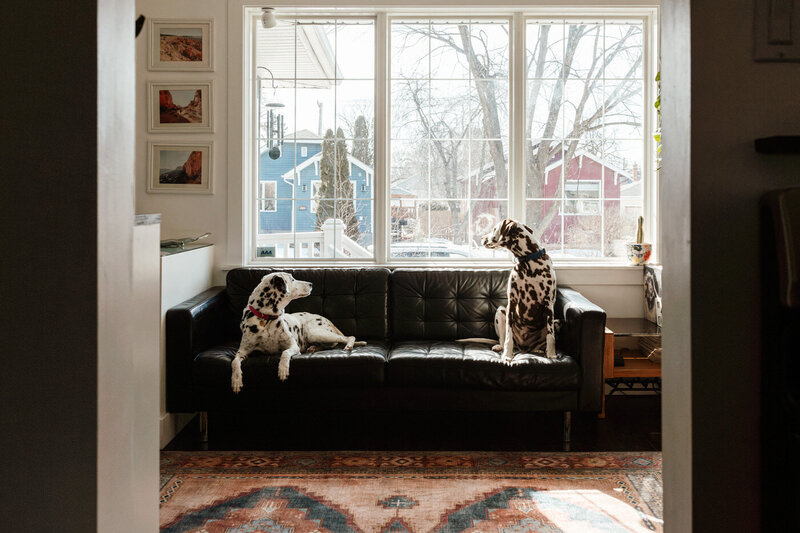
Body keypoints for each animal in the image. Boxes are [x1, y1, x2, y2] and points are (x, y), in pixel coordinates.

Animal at [230, 274, 368, 390]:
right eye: (292, 279)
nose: (311, 283)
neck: (267, 318)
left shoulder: (293, 346)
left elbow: (285, 353)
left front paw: (283, 369)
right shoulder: (242, 351)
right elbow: (234, 362)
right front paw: (236, 380)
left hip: (315, 332)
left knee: (348, 337)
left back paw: (348, 345)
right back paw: (314, 348)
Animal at [482, 218, 556, 360]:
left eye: (494, 229)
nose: (482, 238)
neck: (529, 262)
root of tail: (523, 347)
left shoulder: (548, 304)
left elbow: (551, 335)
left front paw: (552, 354)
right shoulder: (512, 302)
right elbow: (508, 335)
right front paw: (507, 355)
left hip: (555, 321)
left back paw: (539, 350)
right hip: (500, 311)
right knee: (502, 338)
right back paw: (500, 347)